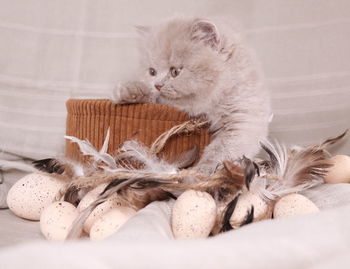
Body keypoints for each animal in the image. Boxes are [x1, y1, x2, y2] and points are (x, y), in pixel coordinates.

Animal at [112, 17, 270, 175]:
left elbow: (220, 150)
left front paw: (202, 170)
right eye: (152, 72)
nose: (157, 85)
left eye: (175, 71)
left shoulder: (242, 120)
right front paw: (130, 90)